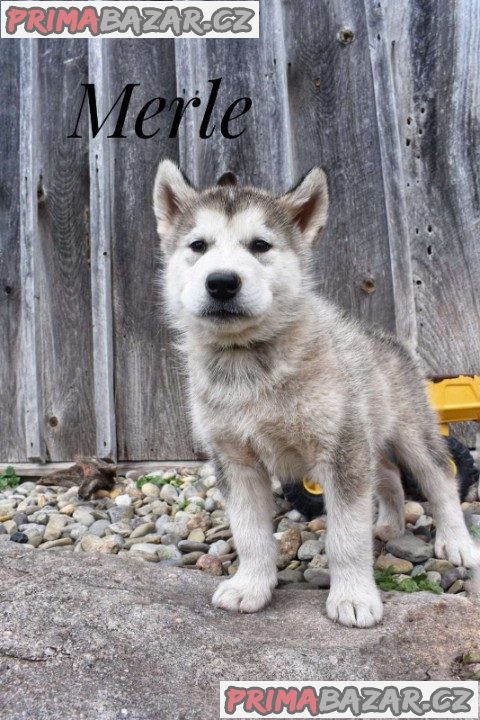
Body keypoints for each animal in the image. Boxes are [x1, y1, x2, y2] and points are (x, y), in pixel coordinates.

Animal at [153, 162, 476, 624]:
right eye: (198, 246)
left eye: (260, 245)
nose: (222, 282)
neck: (249, 364)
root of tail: (389, 339)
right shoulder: (235, 460)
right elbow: (249, 533)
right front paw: (250, 586)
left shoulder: (340, 452)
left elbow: (346, 537)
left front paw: (354, 597)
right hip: (367, 435)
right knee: (388, 475)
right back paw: (389, 525)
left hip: (412, 434)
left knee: (441, 480)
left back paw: (457, 543)